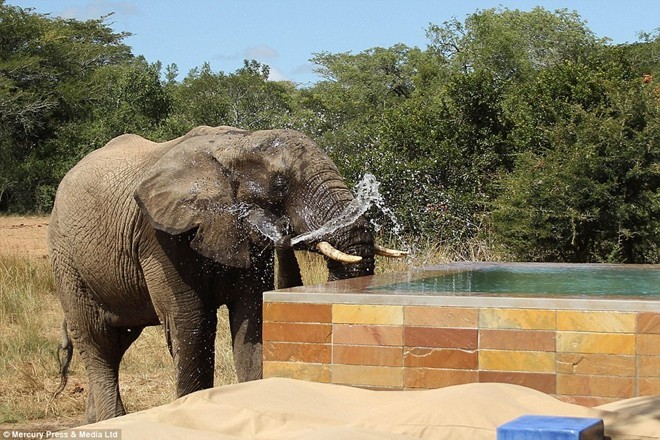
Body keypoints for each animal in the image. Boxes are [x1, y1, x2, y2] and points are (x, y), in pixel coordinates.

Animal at [47, 125, 402, 422]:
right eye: (280, 185)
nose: (286, 232)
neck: (237, 143)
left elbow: (252, 319)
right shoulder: (160, 237)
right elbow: (192, 324)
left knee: (116, 343)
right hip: (66, 258)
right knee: (96, 340)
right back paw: (112, 420)